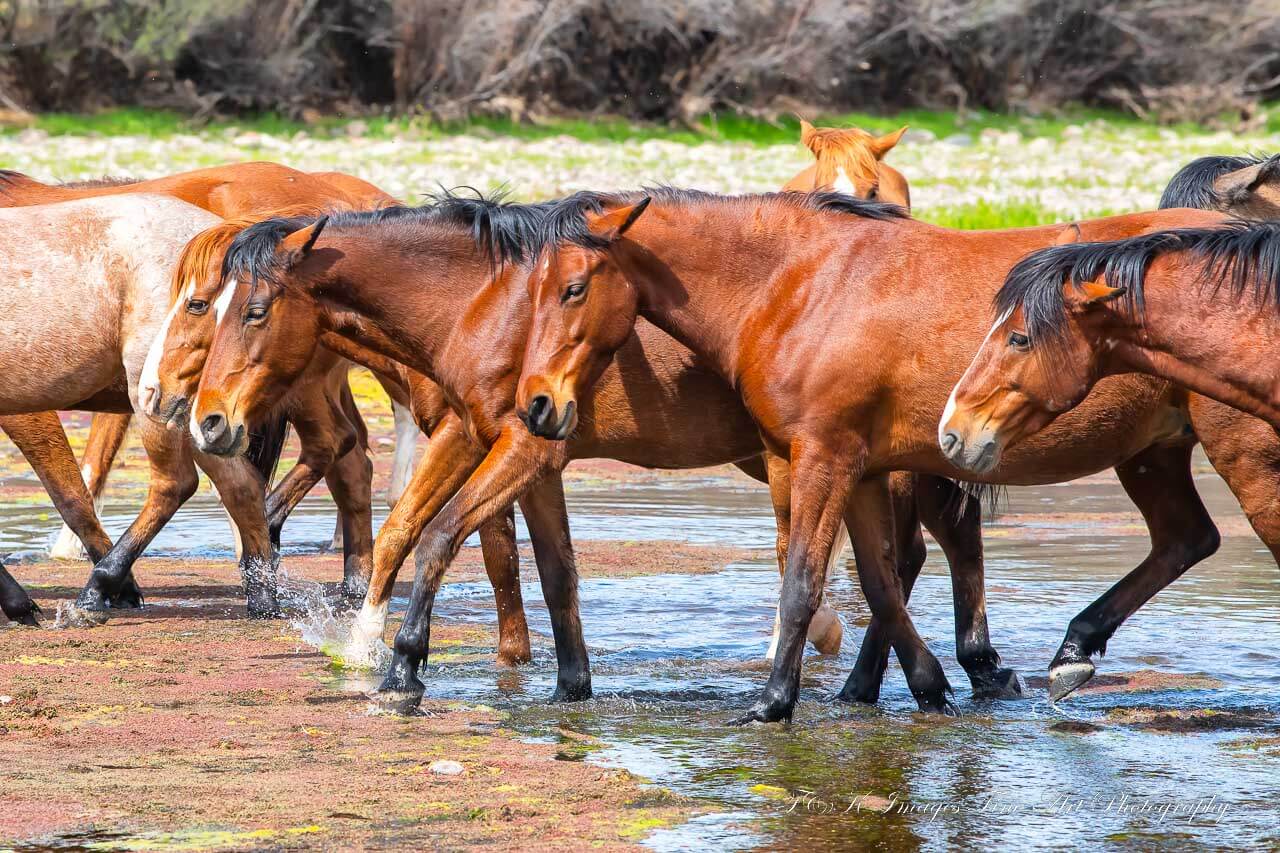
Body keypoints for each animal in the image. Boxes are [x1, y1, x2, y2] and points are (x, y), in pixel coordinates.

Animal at [0, 192, 285, 617]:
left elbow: (70, 496)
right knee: (241, 484)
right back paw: (262, 598)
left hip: (158, 399)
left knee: (177, 483)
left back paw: (99, 586)